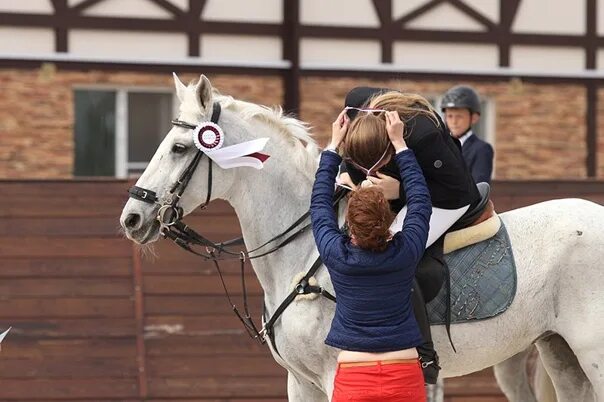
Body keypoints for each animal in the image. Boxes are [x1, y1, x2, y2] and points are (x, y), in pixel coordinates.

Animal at [120, 75, 600, 402]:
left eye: (179, 148)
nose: (131, 218)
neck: (305, 252)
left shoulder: (340, 376)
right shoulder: (301, 382)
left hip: (590, 353)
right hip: (559, 353)